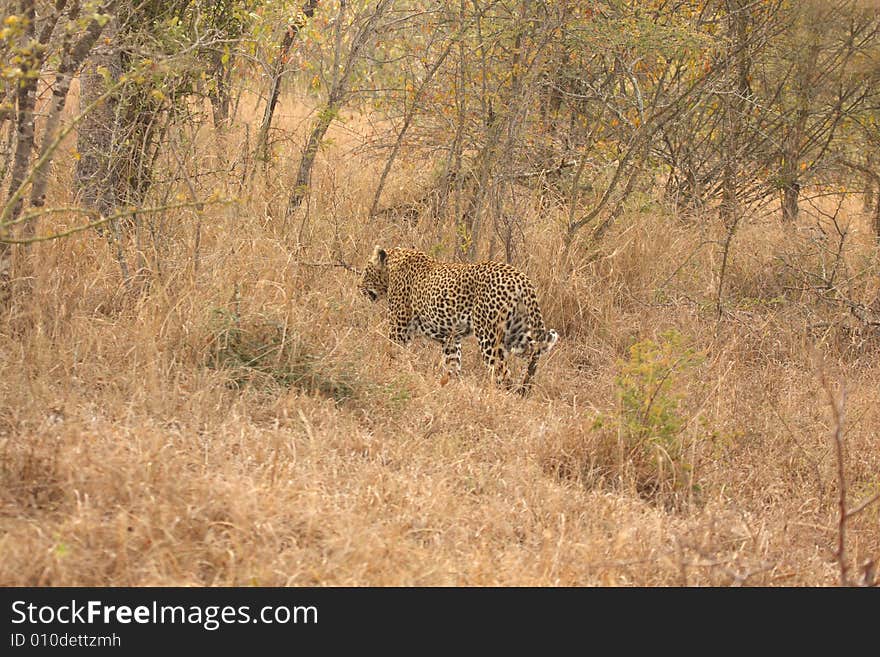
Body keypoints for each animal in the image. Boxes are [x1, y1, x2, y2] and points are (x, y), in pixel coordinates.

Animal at [358, 245, 556, 390]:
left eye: (366, 272)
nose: (358, 286)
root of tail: (521, 278)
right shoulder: (451, 339)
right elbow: (453, 364)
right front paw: (450, 385)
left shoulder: (398, 329)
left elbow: (393, 353)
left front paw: (392, 373)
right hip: (516, 333)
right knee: (535, 350)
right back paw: (526, 384)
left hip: (489, 336)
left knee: (501, 371)